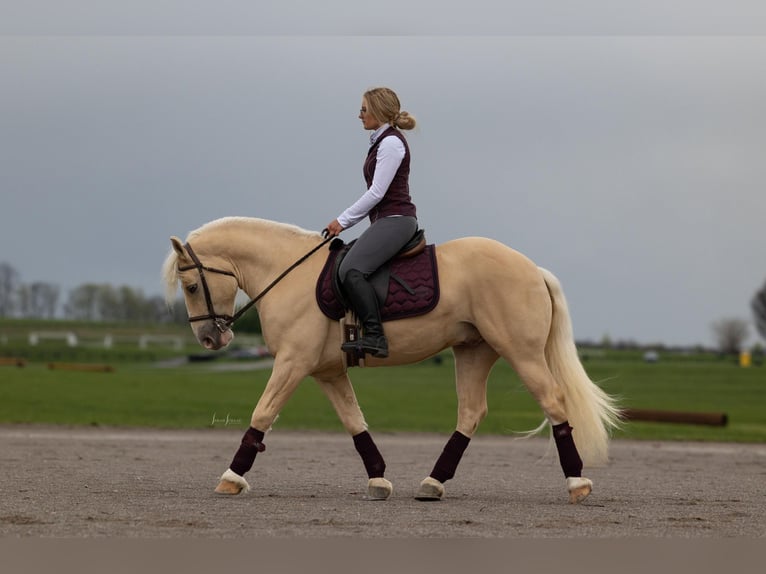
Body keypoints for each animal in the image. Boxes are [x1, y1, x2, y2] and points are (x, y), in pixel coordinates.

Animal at [162, 216, 621, 503]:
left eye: (191, 286)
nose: (210, 338)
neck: (288, 274)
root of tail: (532, 268)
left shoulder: (292, 363)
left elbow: (262, 413)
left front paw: (231, 477)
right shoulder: (327, 372)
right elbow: (355, 422)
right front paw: (379, 479)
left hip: (520, 352)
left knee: (553, 402)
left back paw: (577, 483)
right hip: (474, 351)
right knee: (471, 412)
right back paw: (433, 483)